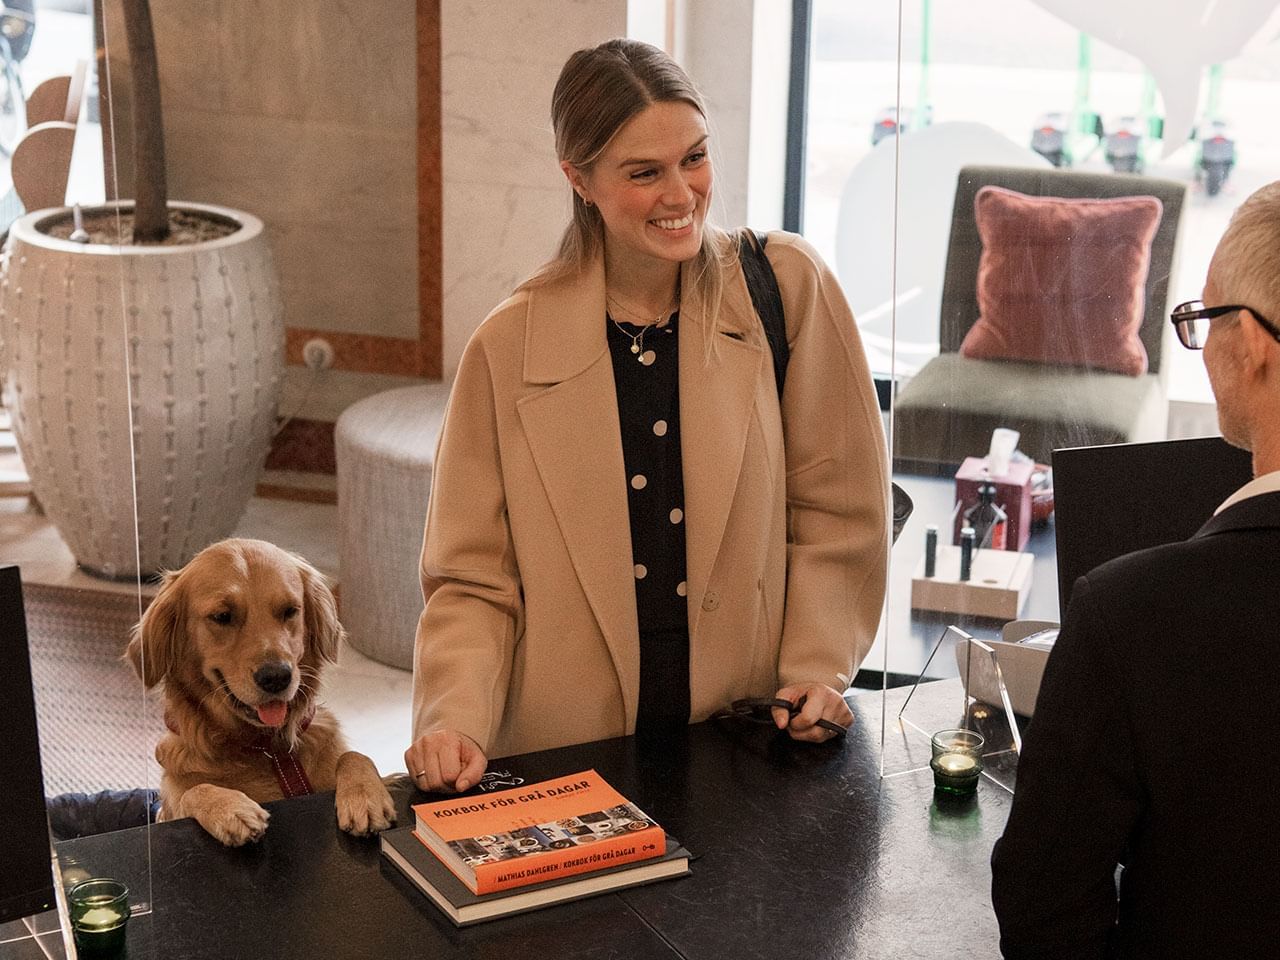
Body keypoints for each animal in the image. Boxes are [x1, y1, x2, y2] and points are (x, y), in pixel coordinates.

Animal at [127, 542, 394, 849]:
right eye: (222, 616)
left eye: (290, 610)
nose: (277, 677)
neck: (268, 749)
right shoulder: (172, 800)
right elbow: (192, 791)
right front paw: (231, 809)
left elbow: (353, 756)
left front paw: (366, 797)